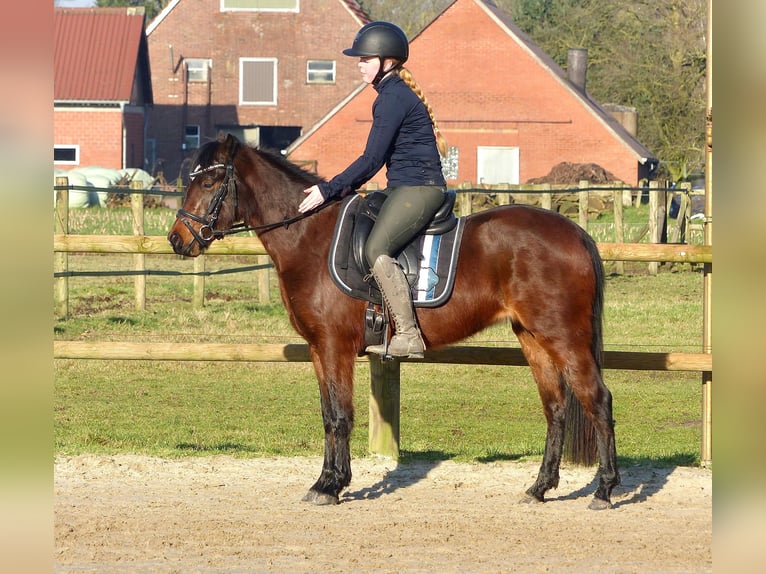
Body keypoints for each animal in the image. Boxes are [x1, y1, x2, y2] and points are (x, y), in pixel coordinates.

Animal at [170, 135, 624, 512]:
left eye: (209, 182)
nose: (177, 239)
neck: (309, 238)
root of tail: (575, 232)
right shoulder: (318, 349)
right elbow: (328, 414)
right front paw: (327, 481)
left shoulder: (334, 347)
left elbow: (340, 415)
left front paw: (331, 486)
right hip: (533, 338)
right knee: (556, 408)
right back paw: (540, 488)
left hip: (564, 337)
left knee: (598, 401)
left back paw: (604, 490)